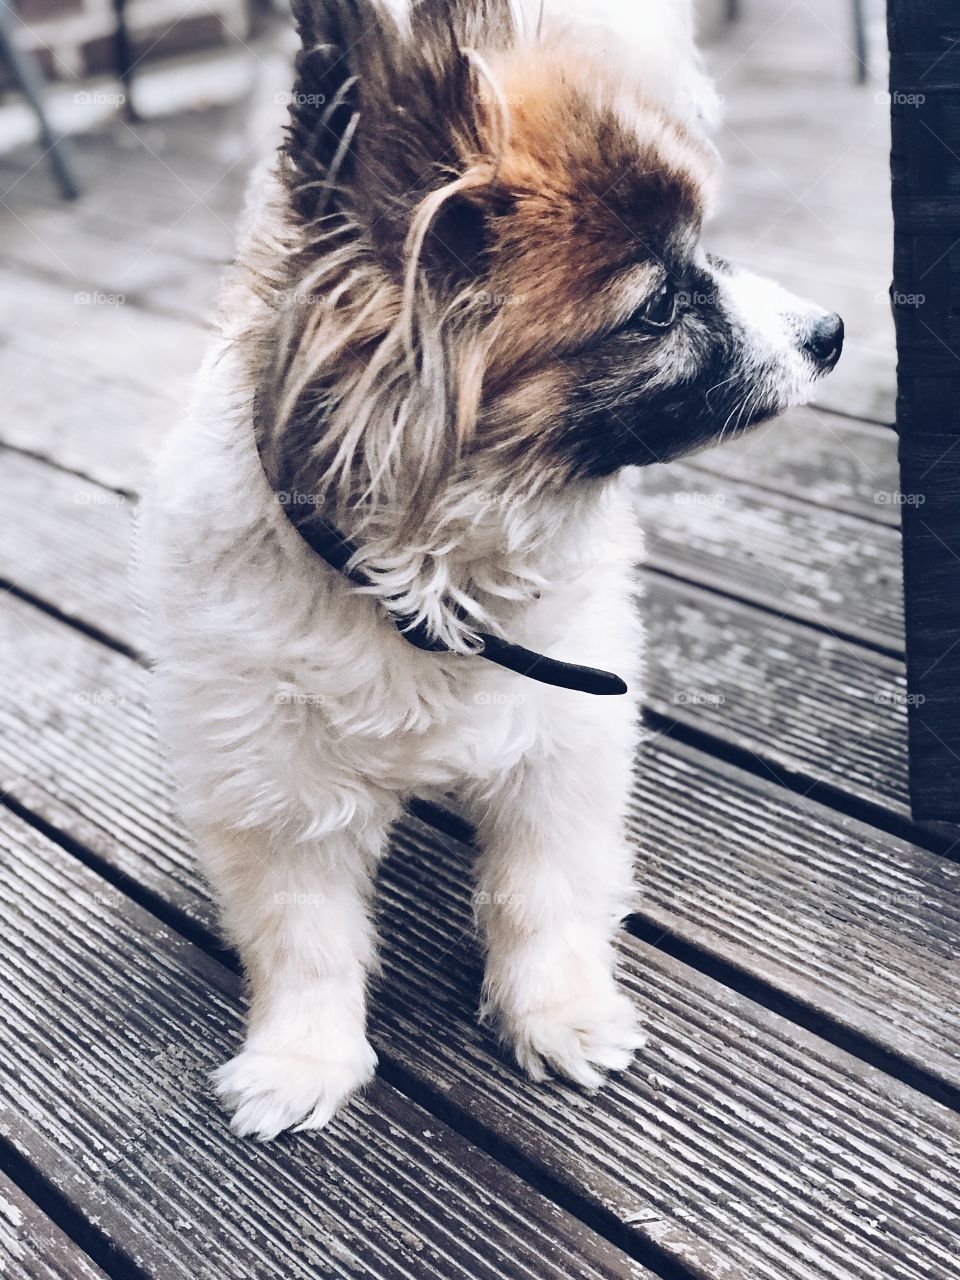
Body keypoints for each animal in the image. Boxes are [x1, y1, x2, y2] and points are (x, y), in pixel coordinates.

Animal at [140, 0, 839, 1141]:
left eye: (707, 254)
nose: (831, 332)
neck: (431, 580)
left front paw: (558, 1012)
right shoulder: (278, 791)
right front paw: (300, 1057)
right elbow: (306, 938)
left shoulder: (562, 744)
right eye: (656, 310)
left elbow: (542, 895)